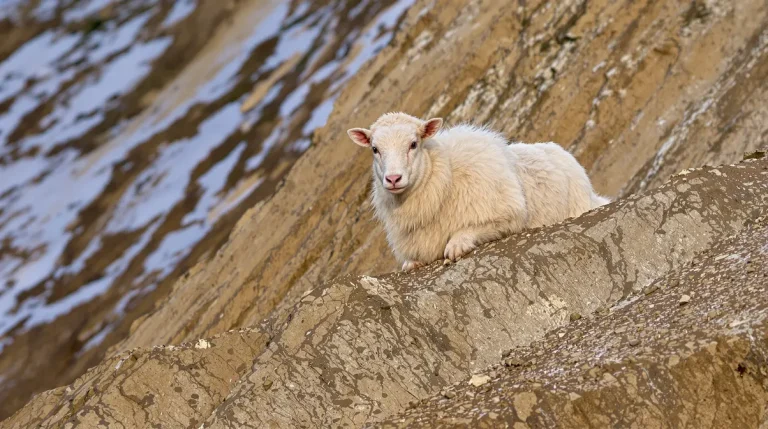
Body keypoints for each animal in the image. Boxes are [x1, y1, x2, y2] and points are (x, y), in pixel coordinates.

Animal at [347, 112, 610, 272]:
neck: (444, 175)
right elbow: (411, 263)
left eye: (413, 144)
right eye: (375, 149)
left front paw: (456, 245)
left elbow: (470, 229)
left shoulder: (506, 214)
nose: (393, 179)